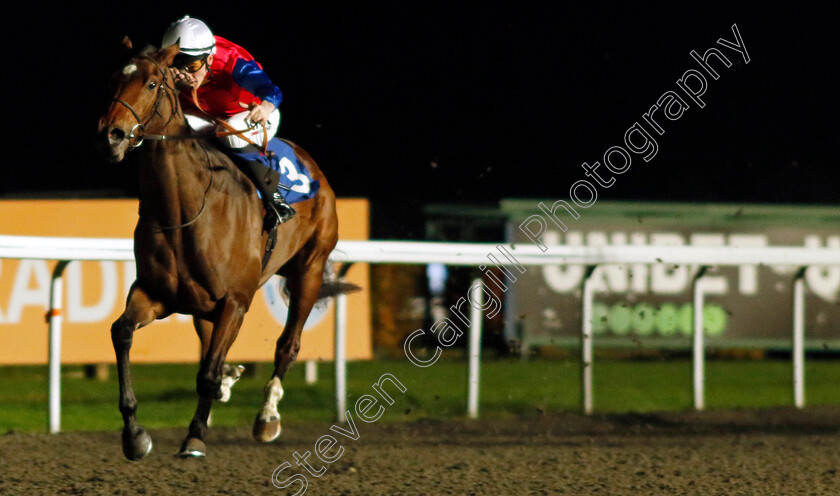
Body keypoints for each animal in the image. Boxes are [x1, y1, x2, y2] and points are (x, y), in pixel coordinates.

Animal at [99, 39, 344, 462]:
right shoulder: (154, 295)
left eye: (151, 83)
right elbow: (122, 333)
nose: (112, 134)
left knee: (287, 346)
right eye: (115, 78)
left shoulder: (235, 300)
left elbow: (207, 373)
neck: (184, 210)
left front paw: (195, 437)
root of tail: (312, 168)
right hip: (205, 304)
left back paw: (267, 417)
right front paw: (135, 435)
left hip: (309, 270)